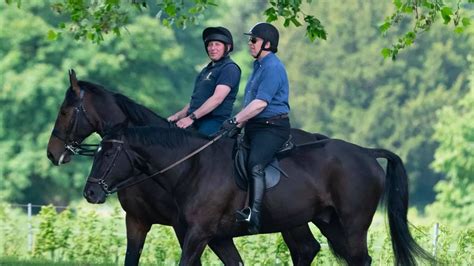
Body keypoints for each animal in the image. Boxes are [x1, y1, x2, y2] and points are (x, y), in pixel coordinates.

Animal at [48, 69, 328, 264]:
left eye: (64, 111)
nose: (52, 153)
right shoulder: (137, 221)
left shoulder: (186, 228)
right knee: (306, 248)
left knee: (306, 248)